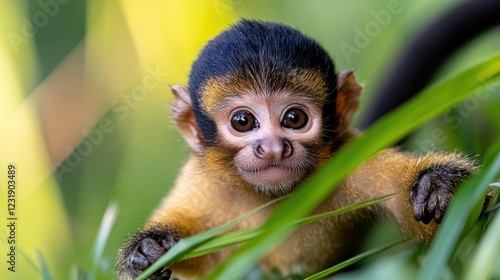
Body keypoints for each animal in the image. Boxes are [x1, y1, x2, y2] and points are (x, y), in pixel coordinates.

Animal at [117, 20, 476, 280]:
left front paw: (436, 184)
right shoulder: (202, 181)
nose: (273, 148)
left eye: (294, 118)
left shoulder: (349, 159)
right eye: (243, 121)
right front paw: (148, 250)